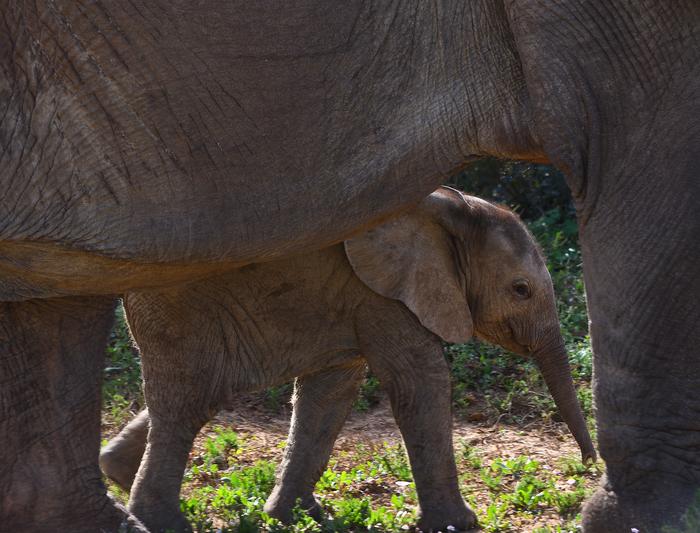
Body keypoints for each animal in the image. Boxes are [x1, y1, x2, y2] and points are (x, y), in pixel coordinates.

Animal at [99, 187, 595, 532]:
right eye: (521, 290)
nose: (590, 465)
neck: (449, 210)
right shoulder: (384, 293)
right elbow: (421, 381)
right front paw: (461, 524)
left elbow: (331, 391)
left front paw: (296, 517)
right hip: (180, 305)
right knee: (190, 401)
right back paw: (160, 521)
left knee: (206, 394)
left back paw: (116, 474)